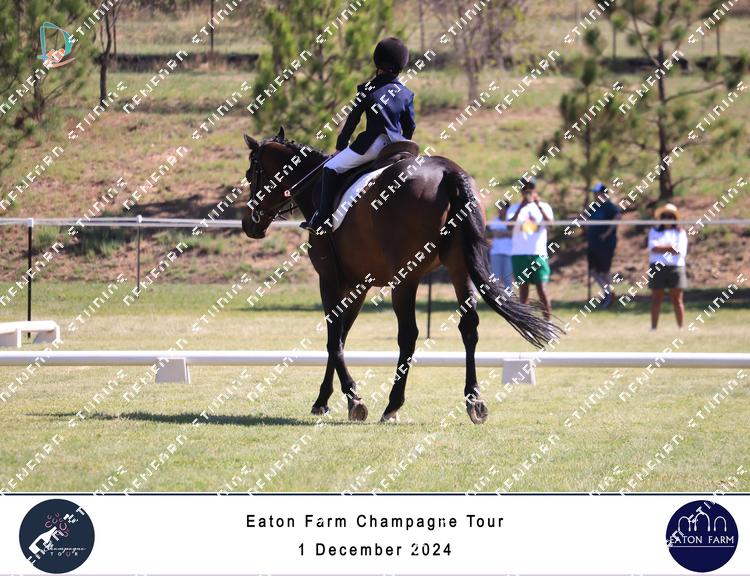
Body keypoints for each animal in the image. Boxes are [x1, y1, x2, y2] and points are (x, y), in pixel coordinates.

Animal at [240, 127, 559, 424]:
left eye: (251, 174)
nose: (248, 224)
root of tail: (449, 172)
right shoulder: (359, 285)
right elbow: (341, 335)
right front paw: (324, 399)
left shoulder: (329, 278)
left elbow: (334, 338)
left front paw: (352, 399)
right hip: (459, 268)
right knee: (469, 327)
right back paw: (474, 401)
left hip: (405, 278)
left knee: (408, 334)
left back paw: (392, 406)